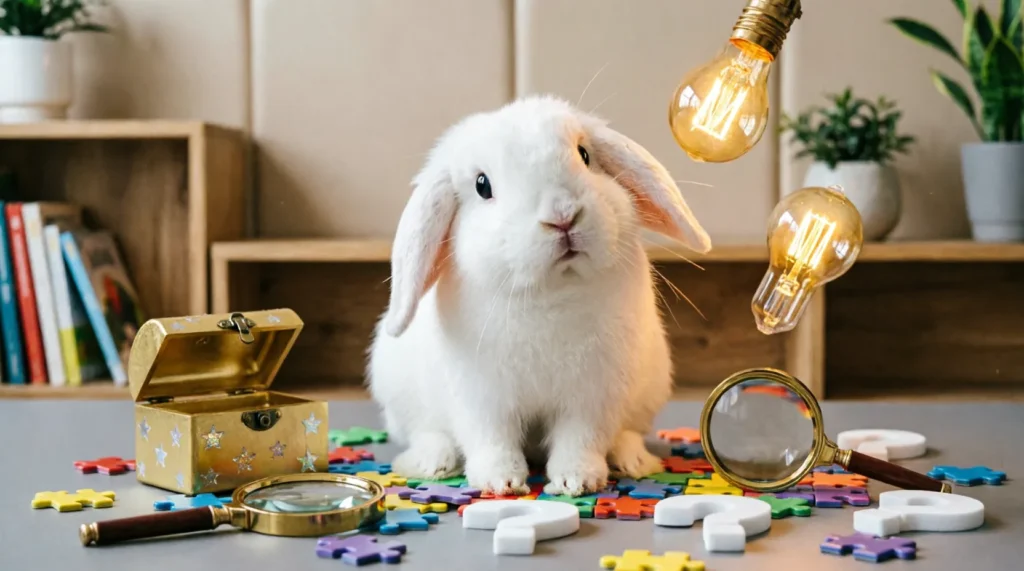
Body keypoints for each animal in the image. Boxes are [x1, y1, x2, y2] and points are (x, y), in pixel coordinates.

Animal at [366, 94, 712, 497]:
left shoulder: (593, 397)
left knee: (626, 433)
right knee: (427, 433)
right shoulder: (482, 399)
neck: (552, 292)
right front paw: (501, 482)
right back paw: (432, 462)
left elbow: (580, 439)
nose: (562, 216)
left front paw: (576, 481)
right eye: (482, 185)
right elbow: (492, 440)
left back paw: (634, 461)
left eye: (584, 155)